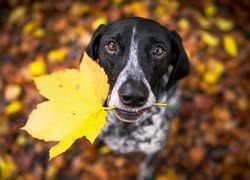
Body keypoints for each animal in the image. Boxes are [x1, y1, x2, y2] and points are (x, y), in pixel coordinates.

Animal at [85, 17, 188, 180]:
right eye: (111, 46)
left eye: (158, 50)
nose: (133, 96)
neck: (124, 127)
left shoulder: (154, 148)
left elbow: (147, 165)